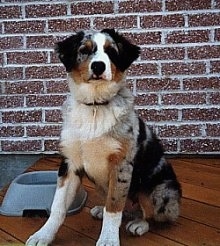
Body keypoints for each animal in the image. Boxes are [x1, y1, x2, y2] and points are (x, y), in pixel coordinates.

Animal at [25, 29, 181, 246]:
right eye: (84, 50)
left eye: (111, 52)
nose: (98, 66)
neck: (95, 106)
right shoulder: (70, 162)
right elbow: (58, 207)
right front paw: (43, 235)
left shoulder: (121, 165)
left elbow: (114, 208)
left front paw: (108, 240)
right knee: (125, 209)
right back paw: (102, 210)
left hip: (158, 189)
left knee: (149, 214)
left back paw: (139, 224)